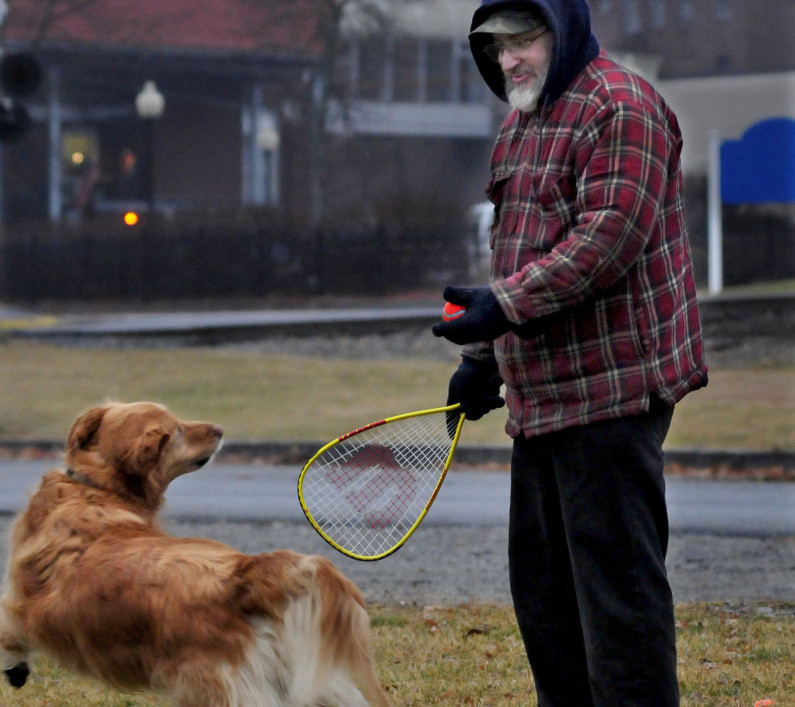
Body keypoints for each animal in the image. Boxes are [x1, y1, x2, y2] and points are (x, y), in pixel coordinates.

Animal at [0, 402, 388, 704]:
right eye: (177, 430)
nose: (219, 428)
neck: (95, 489)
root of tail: (244, 574)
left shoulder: (22, 607)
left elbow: (8, 634)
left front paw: (14, 668)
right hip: (310, 679)